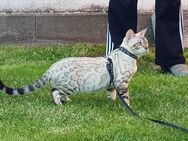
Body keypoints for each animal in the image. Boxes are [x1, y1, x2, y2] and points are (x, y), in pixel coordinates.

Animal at [0, 28, 148, 106]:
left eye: (146, 42)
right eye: (139, 44)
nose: (147, 48)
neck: (131, 58)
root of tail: (52, 67)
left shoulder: (112, 84)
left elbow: (111, 94)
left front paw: (112, 103)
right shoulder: (122, 82)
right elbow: (125, 97)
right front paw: (128, 108)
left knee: (57, 92)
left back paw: (66, 100)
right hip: (70, 86)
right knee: (54, 91)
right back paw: (59, 104)